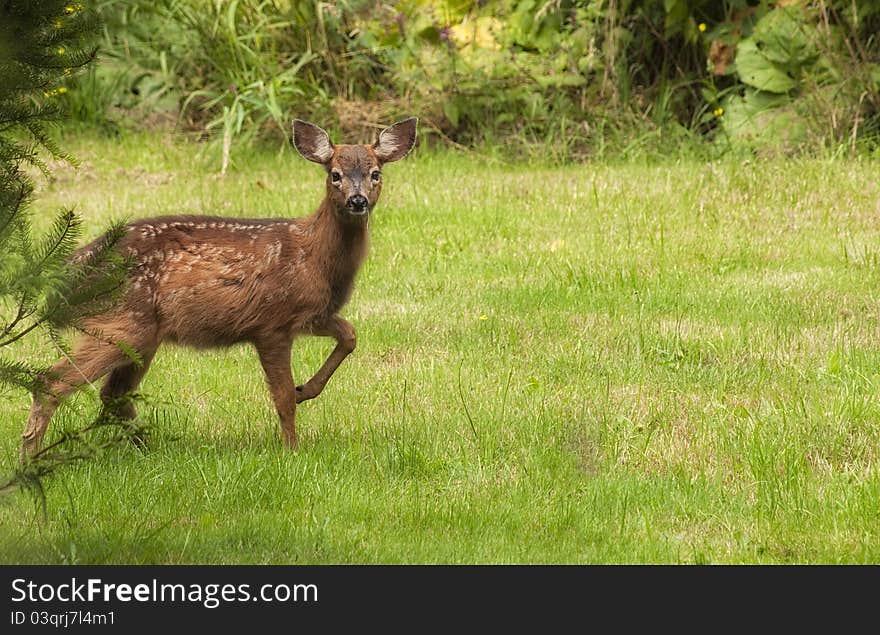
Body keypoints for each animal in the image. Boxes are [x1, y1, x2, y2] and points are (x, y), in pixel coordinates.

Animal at [19, 117, 420, 462]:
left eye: (375, 173)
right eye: (335, 175)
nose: (357, 200)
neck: (313, 257)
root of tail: (67, 276)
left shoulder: (312, 314)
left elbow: (350, 335)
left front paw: (307, 390)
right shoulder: (271, 322)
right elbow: (282, 397)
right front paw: (292, 449)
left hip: (143, 334)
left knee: (112, 393)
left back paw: (147, 449)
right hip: (124, 322)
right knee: (51, 381)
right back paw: (29, 458)